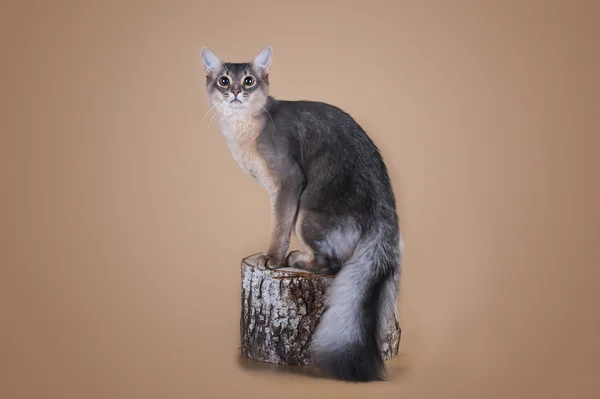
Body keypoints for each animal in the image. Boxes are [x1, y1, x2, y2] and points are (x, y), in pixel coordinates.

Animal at [202, 45, 404, 382]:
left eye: (248, 80)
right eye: (223, 80)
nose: (235, 92)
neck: (245, 128)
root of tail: (385, 207)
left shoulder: (288, 183)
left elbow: (278, 226)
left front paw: (273, 258)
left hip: (307, 214)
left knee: (331, 263)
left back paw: (298, 259)